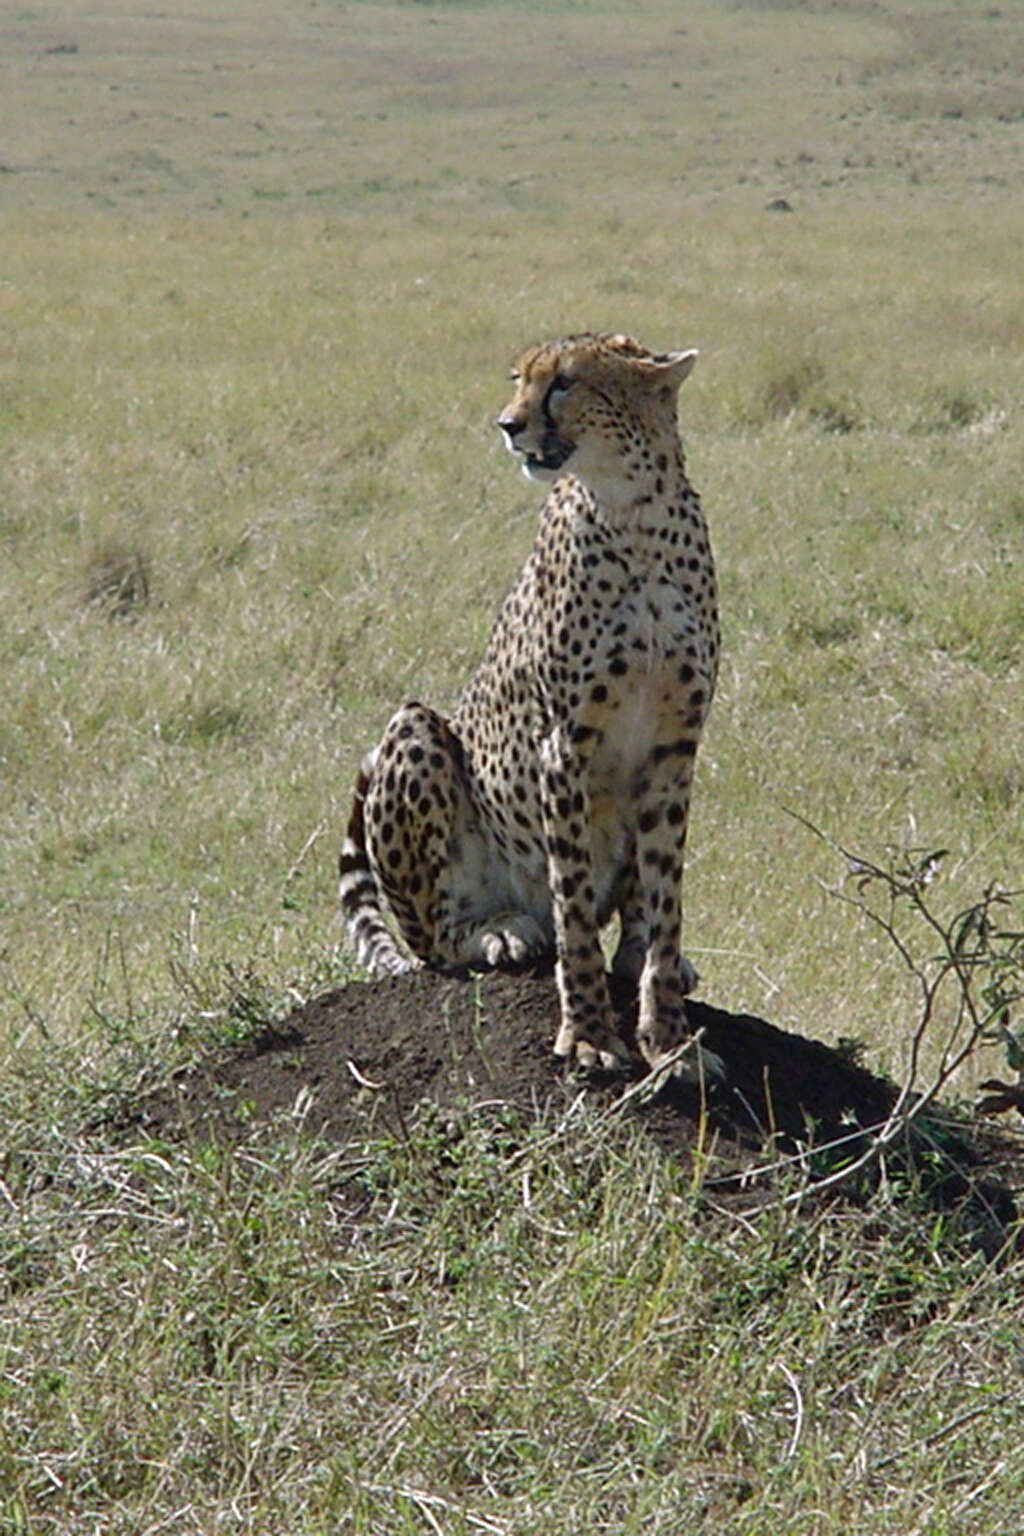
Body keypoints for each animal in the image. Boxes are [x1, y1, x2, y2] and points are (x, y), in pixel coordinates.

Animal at [342, 330, 721, 1075]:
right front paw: (590, 1035)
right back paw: (498, 931)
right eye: (519, 379)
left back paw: (640, 954)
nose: (507, 425)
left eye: (566, 382)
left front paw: (669, 1040)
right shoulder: (564, 747)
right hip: (416, 728)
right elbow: (572, 911)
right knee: (436, 943)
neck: (635, 511)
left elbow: (666, 897)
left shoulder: (675, 748)